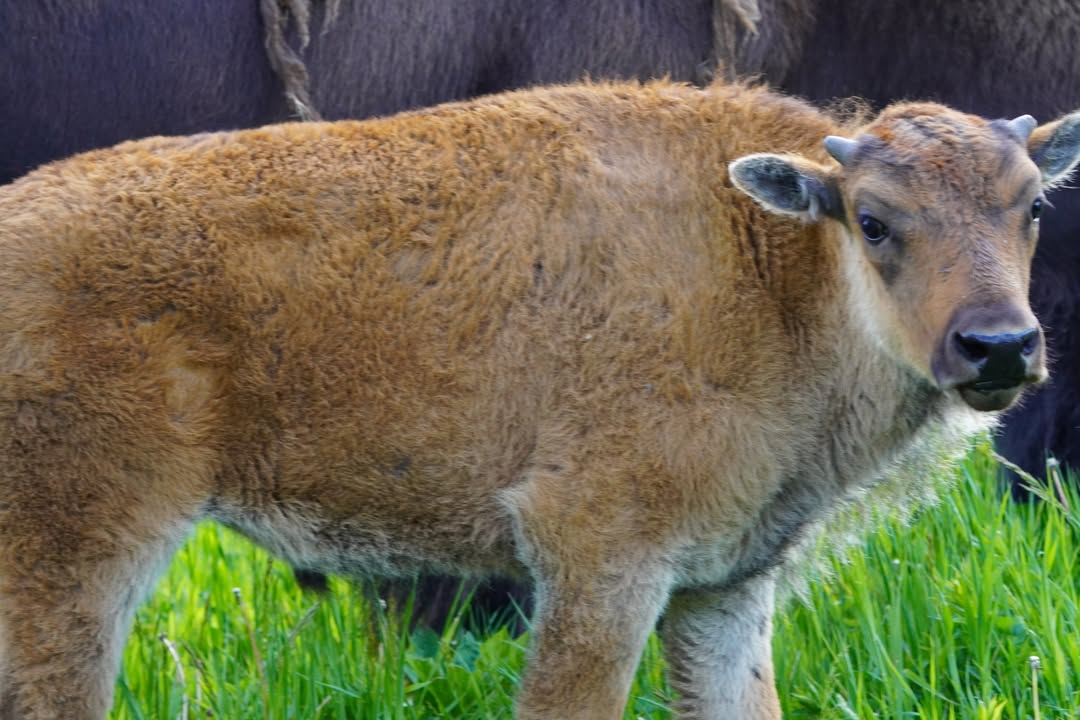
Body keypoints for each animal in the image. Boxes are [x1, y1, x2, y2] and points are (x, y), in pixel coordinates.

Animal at [1, 77, 1076, 719]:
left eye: (1031, 205)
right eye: (874, 221)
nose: (999, 346)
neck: (772, 265)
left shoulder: (725, 585)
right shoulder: (600, 563)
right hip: (79, 558)